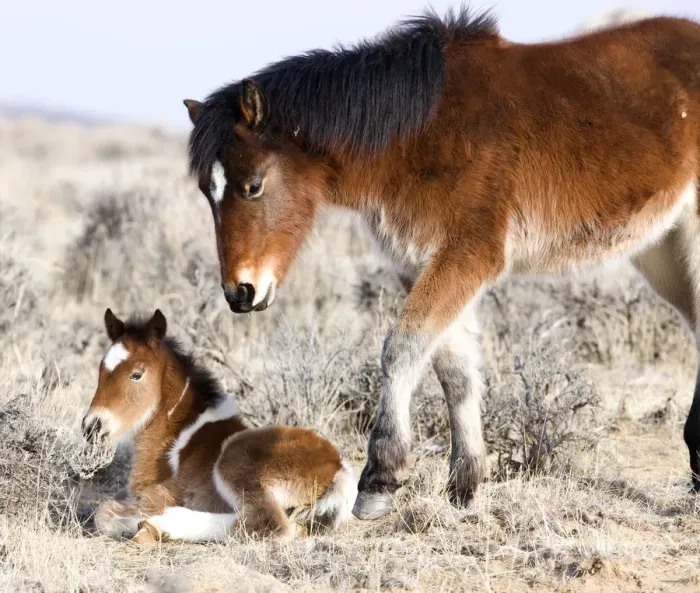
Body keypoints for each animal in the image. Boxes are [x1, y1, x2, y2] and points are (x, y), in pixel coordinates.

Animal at [82, 309, 356, 542]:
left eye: (136, 374)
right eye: (100, 370)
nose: (92, 426)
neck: (177, 437)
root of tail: (338, 467)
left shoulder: (166, 493)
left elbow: (105, 513)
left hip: (235, 457)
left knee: (269, 522)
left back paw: (160, 525)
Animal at [181, 8, 700, 520]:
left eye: (253, 185)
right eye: (207, 191)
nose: (240, 292)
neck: (421, 132)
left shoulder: (469, 256)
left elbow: (402, 348)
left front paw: (380, 480)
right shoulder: (423, 262)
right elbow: (455, 370)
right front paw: (464, 486)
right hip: (661, 249)